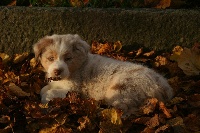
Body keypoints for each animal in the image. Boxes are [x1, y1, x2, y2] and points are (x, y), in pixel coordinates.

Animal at [33, 34, 173, 116]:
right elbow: (44, 88)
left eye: (68, 59)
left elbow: (49, 93)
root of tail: (164, 86)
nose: (57, 71)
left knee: (125, 110)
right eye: (50, 58)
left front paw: (45, 99)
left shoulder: (74, 90)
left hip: (121, 89)